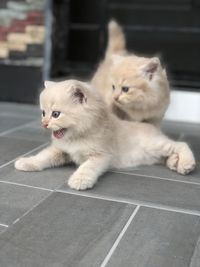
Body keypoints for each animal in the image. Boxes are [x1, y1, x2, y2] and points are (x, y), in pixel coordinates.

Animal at [14, 79, 195, 191]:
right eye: (43, 113)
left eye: (56, 114)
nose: (44, 123)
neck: (76, 137)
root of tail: (151, 127)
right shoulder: (61, 150)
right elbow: (43, 156)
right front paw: (27, 162)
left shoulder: (100, 155)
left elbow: (87, 167)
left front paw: (79, 180)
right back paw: (174, 162)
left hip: (154, 145)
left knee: (180, 145)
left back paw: (186, 164)